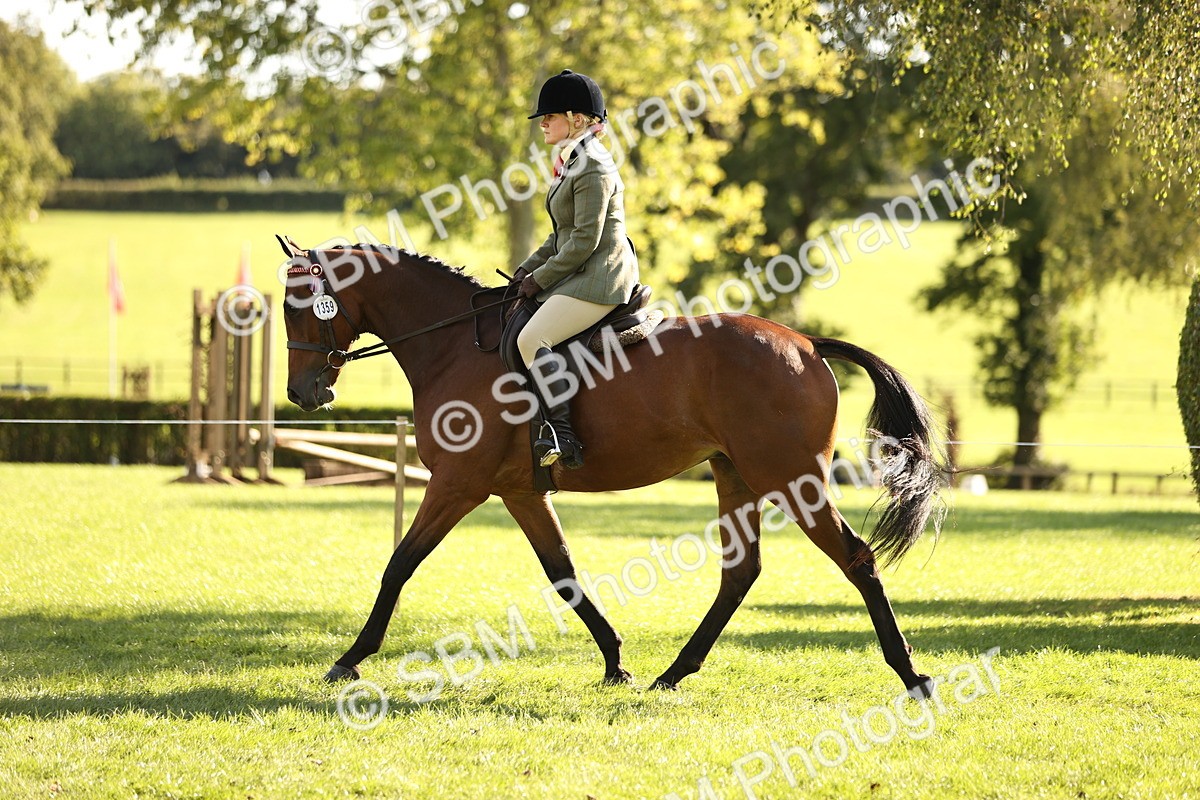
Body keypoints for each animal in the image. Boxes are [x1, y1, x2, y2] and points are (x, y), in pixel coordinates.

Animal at [276, 236, 946, 697]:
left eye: (298, 306)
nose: (303, 394)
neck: (453, 346)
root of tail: (805, 343)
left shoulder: (456, 485)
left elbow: (399, 565)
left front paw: (349, 658)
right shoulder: (519, 493)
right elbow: (564, 574)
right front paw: (616, 662)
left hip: (790, 480)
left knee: (856, 559)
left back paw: (911, 675)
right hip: (736, 475)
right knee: (741, 573)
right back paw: (673, 673)